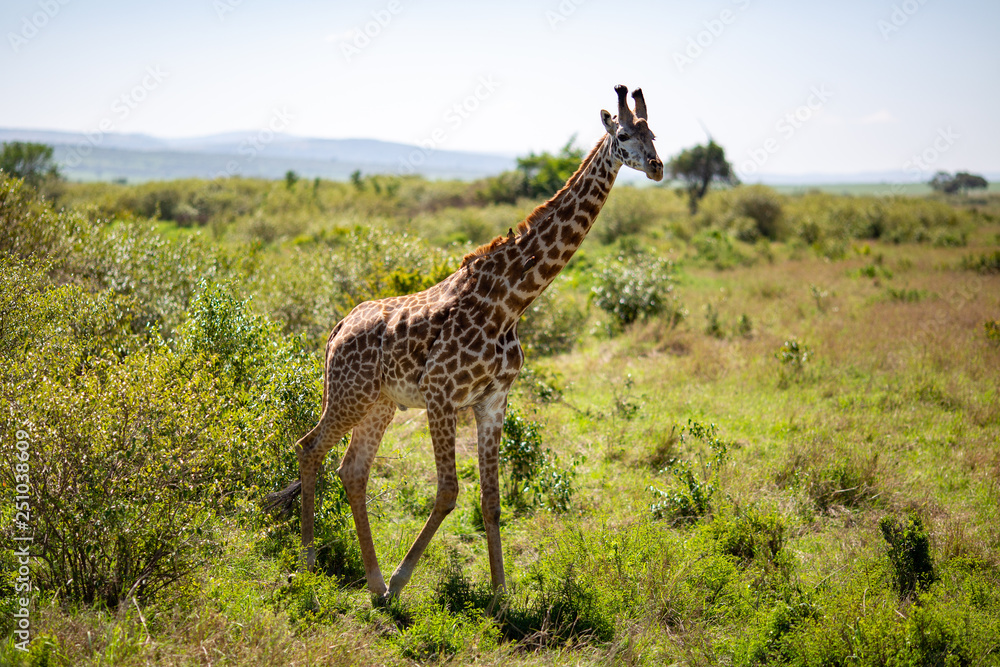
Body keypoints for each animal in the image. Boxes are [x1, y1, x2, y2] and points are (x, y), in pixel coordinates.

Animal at [267, 85, 663, 599]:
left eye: (655, 134)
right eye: (623, 135)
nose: (657, 166)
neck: (510, 302)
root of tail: (337, 329)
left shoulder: (493, 400)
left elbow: (492, 499)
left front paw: (500, 596)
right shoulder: (441, 394)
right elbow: (449, 491)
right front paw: (403, 581)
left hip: (381, 403)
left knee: (352, 470)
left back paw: (372, 581)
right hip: (349, 394)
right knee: (309, 447)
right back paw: (312, 562)